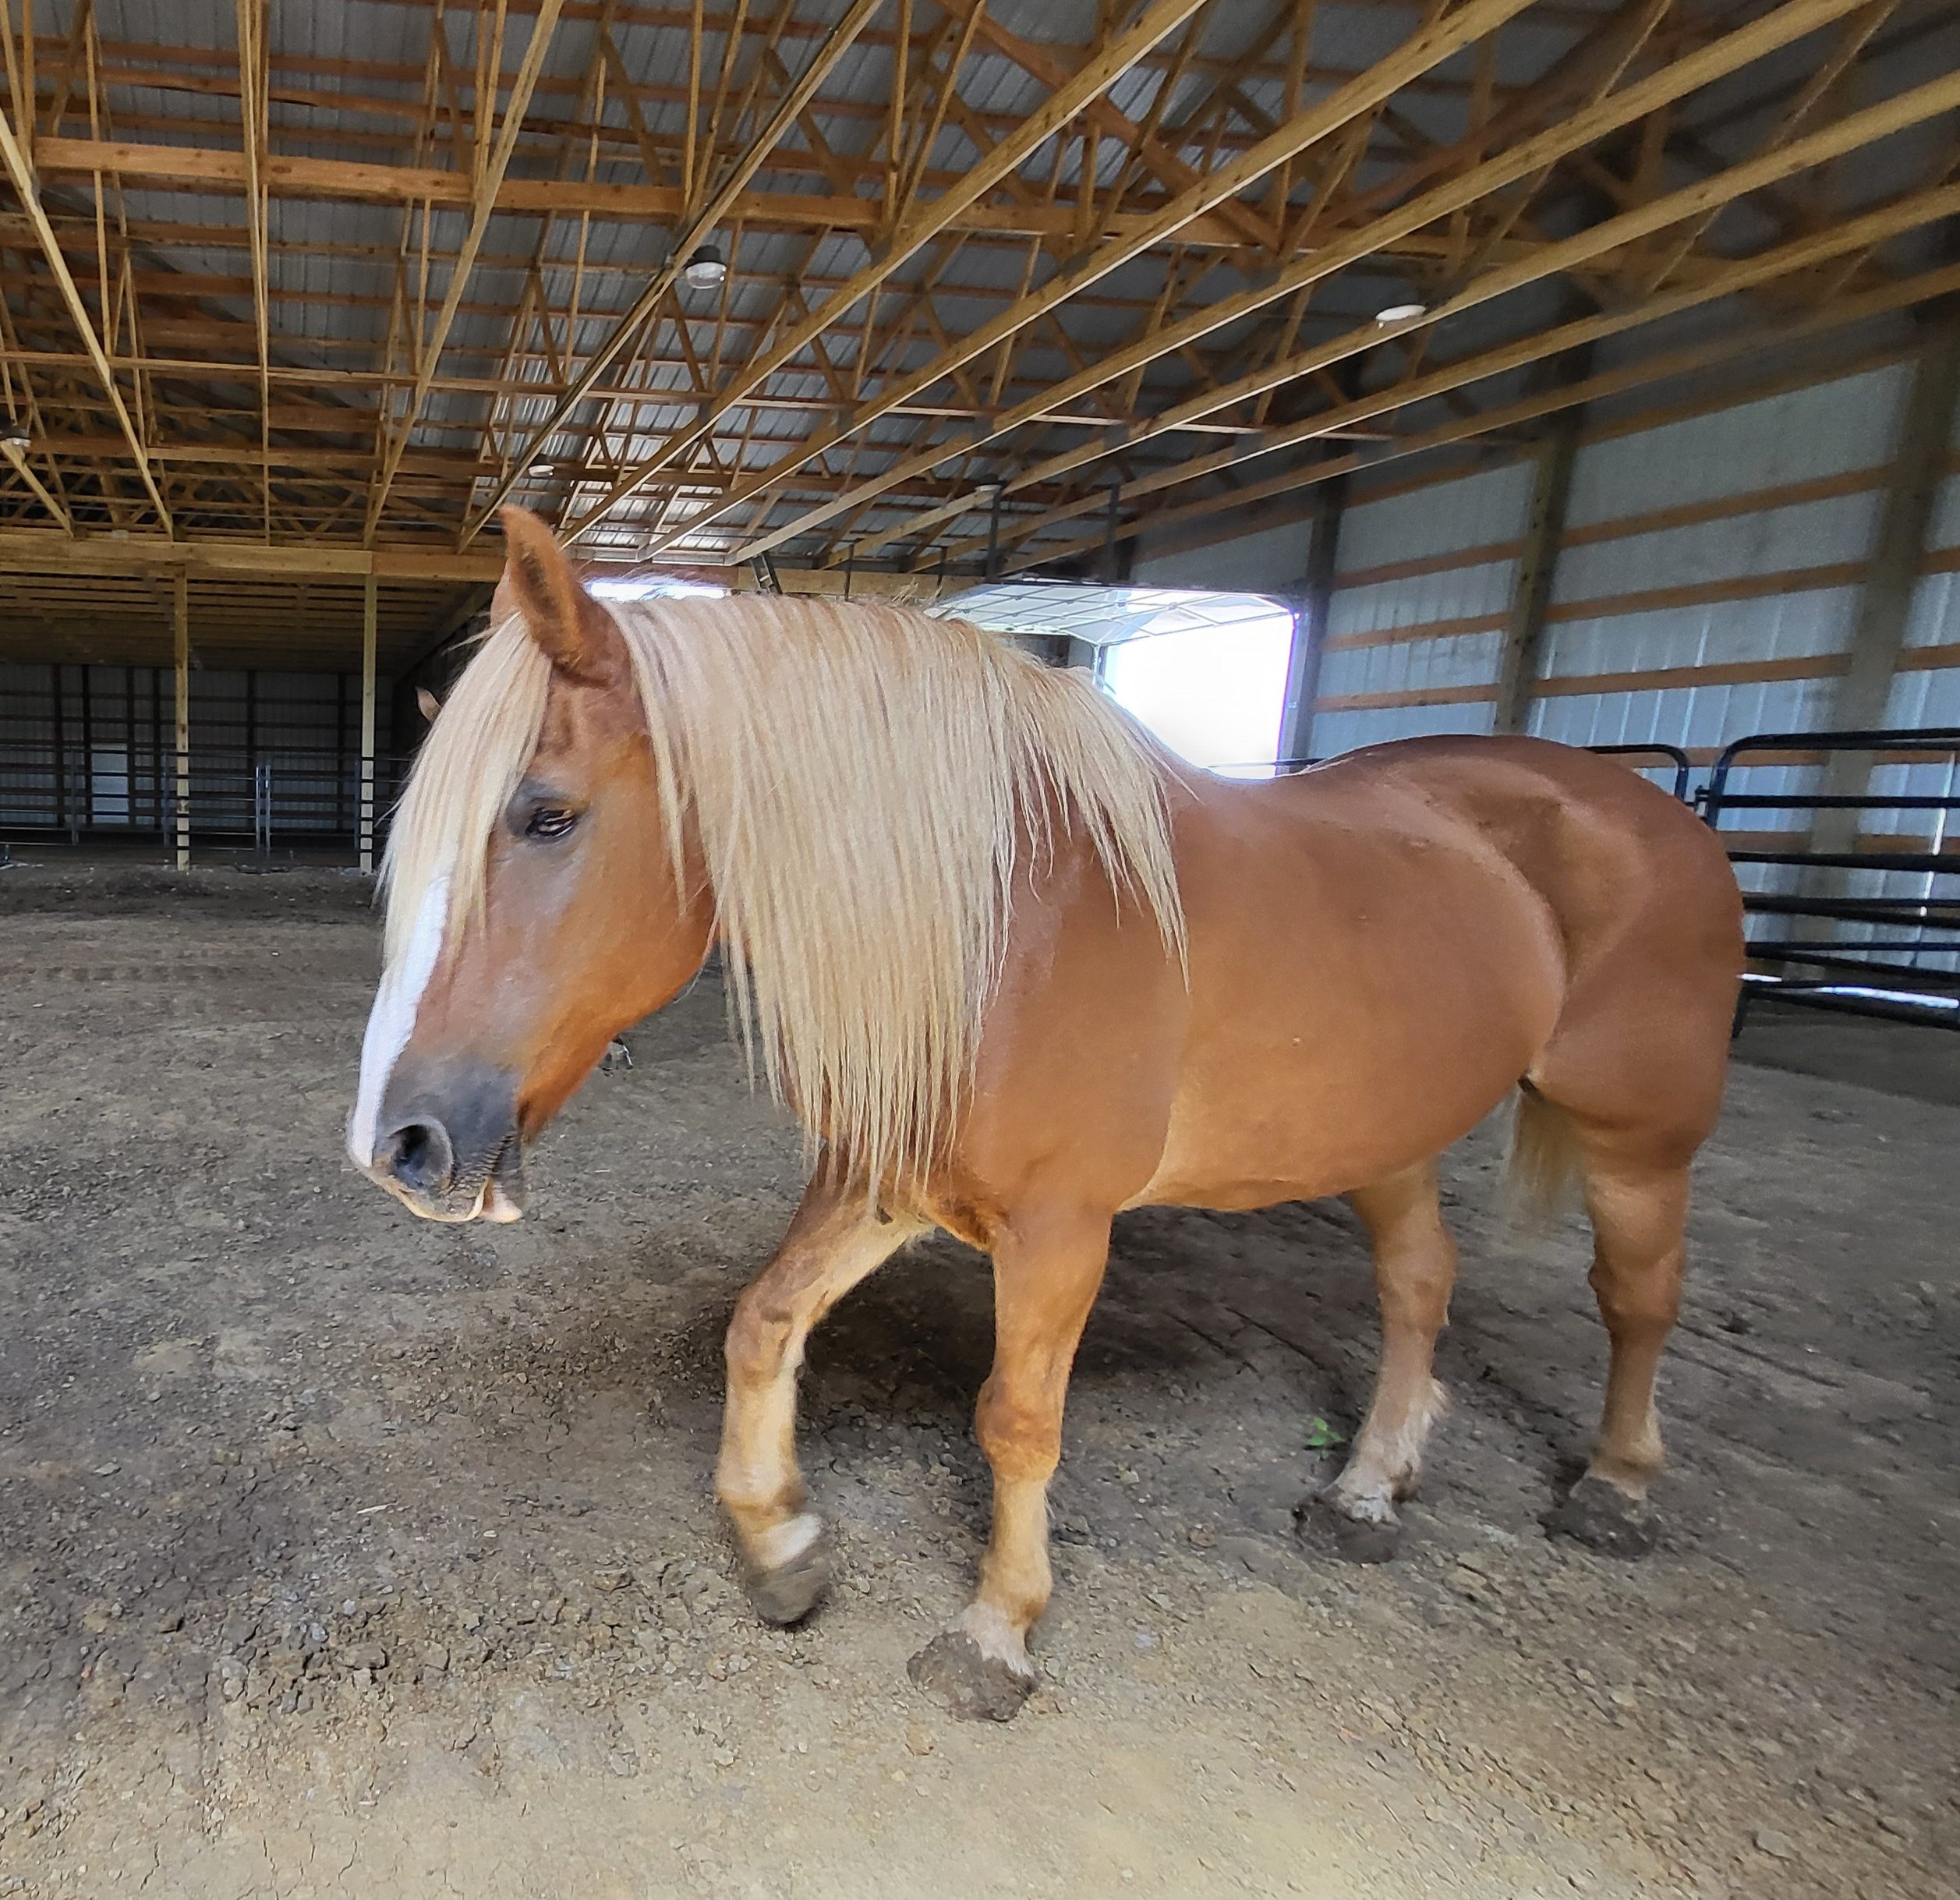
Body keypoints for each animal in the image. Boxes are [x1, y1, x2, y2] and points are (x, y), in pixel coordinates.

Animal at [349, 507, 1743, 1722]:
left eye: (546, 814)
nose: (399, 1147)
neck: (1001, 918)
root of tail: (1644, 806)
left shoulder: (1060, 1230)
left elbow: (1016, 1422)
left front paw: (995, 1635)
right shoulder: (884, 1181)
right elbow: (761, 1324)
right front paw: (780, 1542)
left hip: (1638, 1135)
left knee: (1636, 1295)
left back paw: (1616, 1488)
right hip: (1383, 1133)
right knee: (1418, 1286)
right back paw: (1364, 1491)